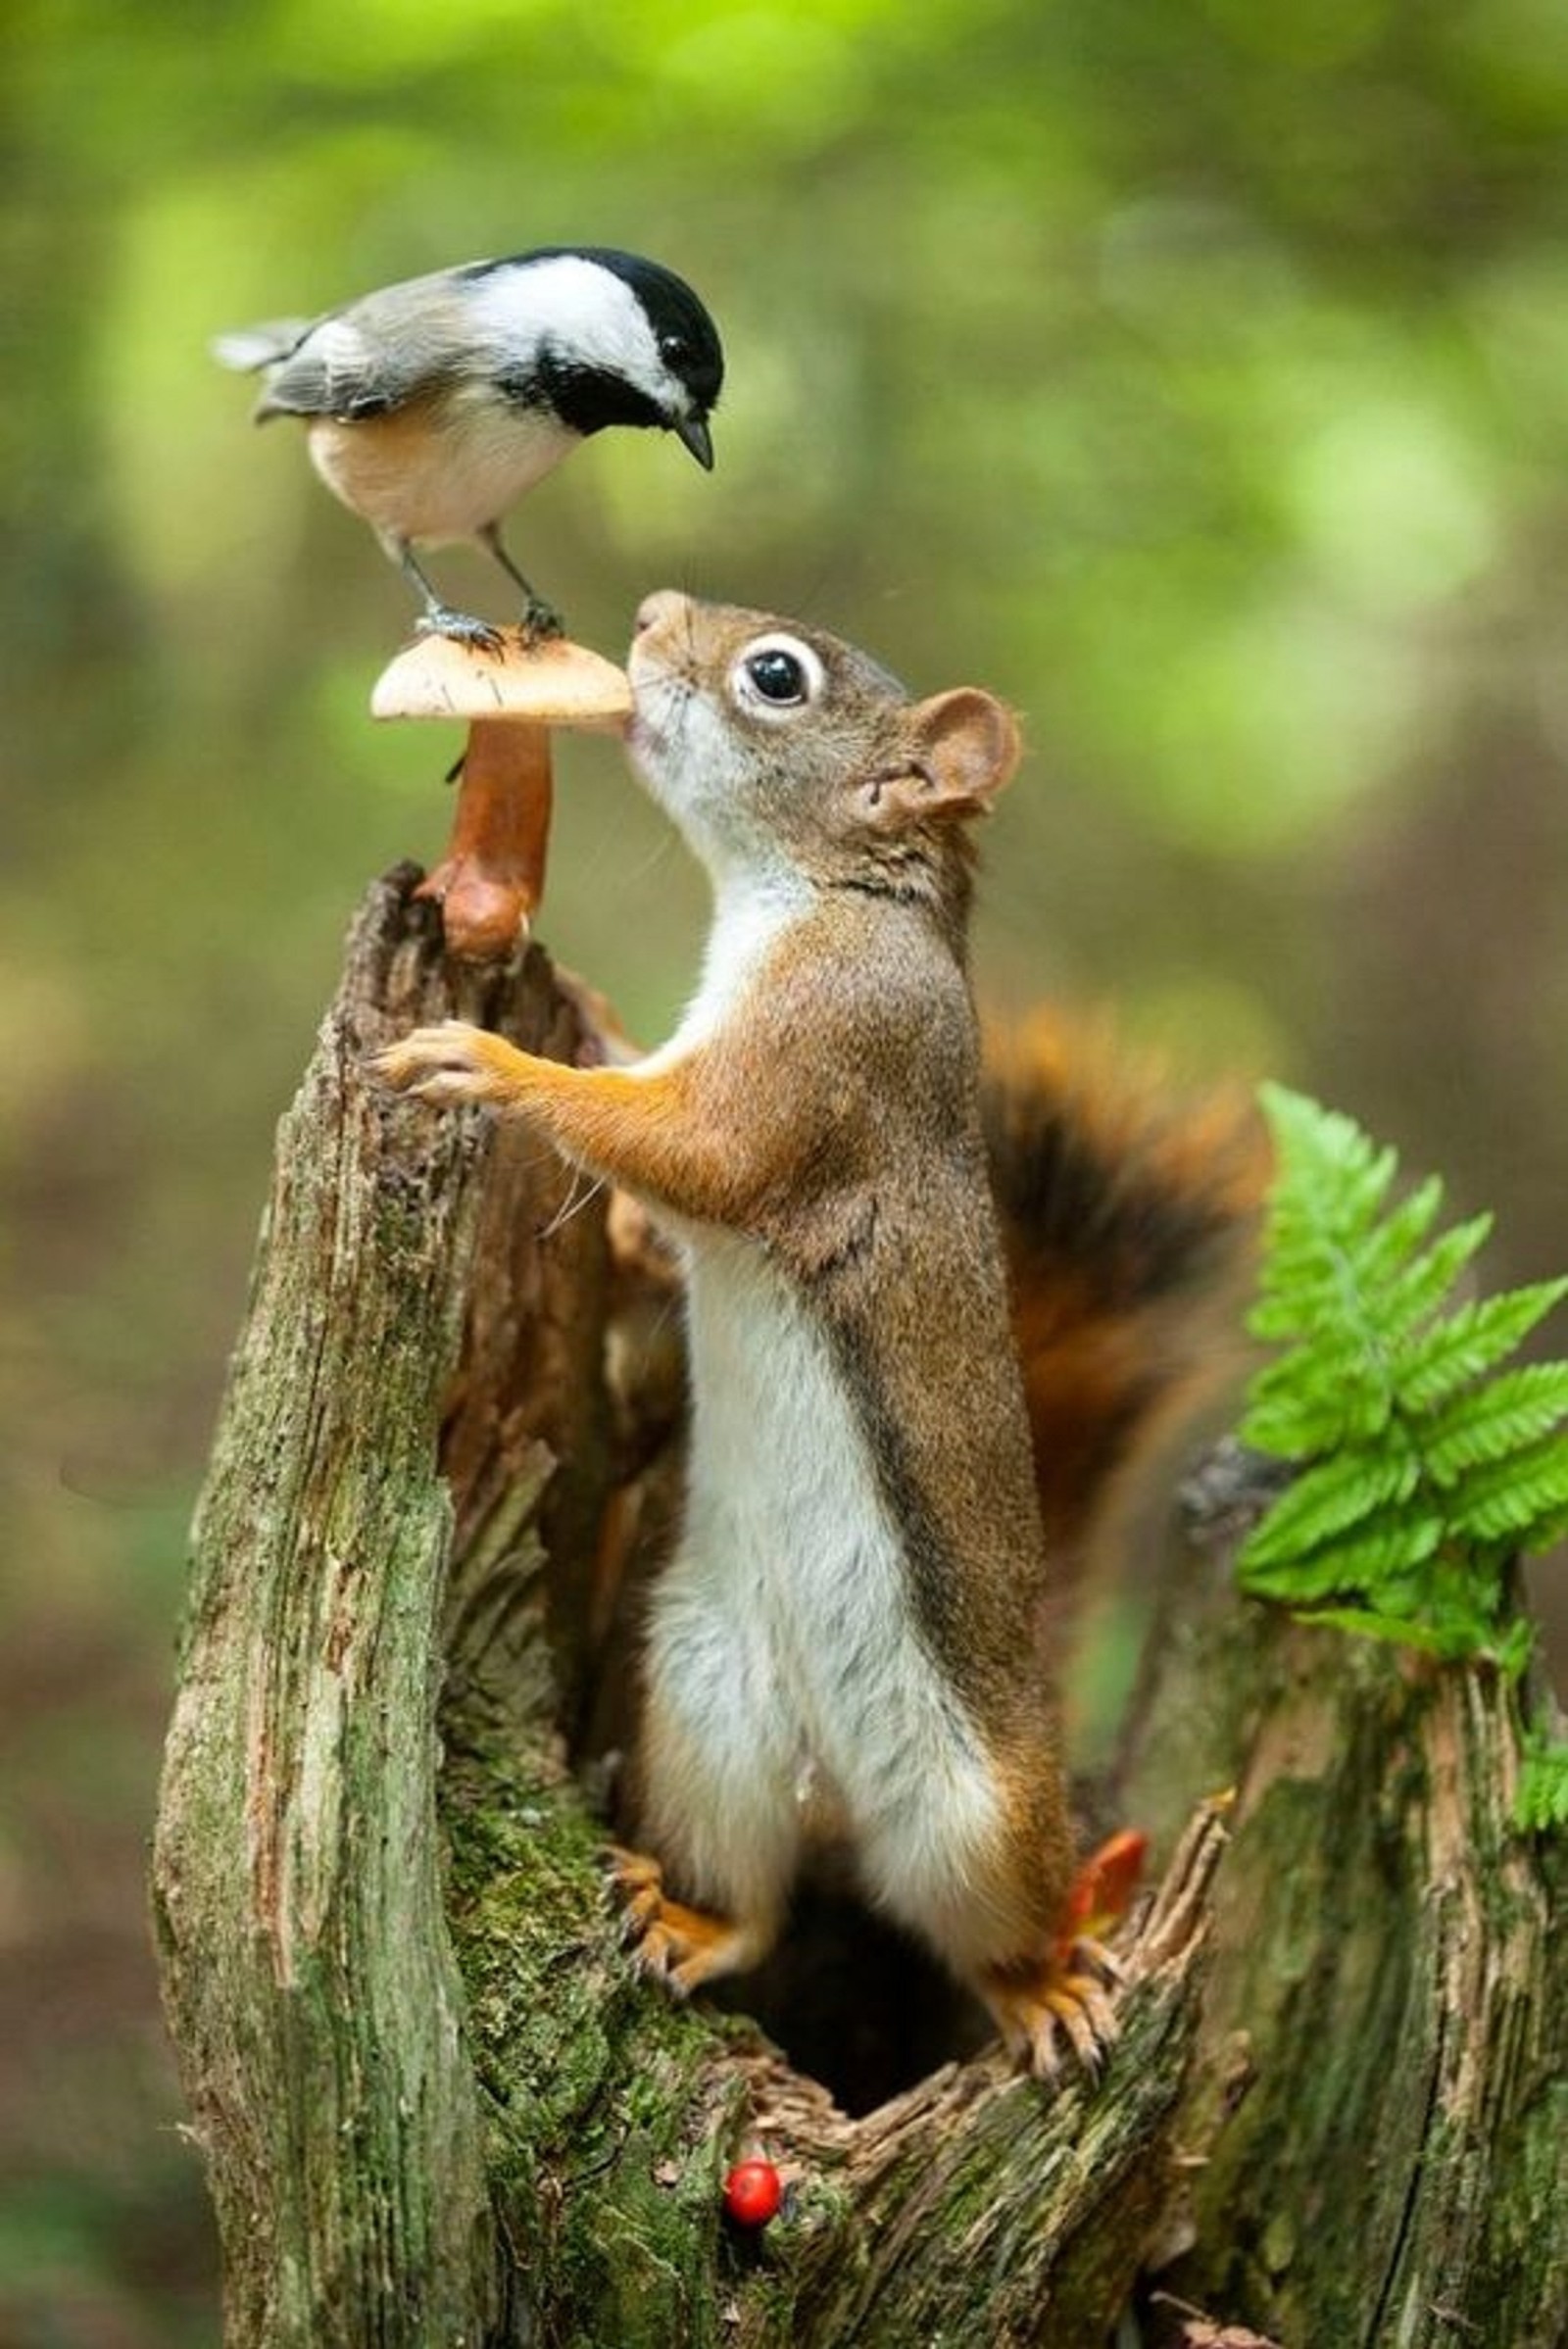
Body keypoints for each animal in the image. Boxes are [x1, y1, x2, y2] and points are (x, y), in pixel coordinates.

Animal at [370, 587, 1257, 2076]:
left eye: (774, 678)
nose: (651, 615)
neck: (821, 895)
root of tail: (835, 1786)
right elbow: (658, 1186)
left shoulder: (824, 1058)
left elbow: (693, 1152)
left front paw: (492, 1064)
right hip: (705, 1704)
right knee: (760, 1903)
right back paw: (692, 1921)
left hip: (978, 1813)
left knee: (992, 1929)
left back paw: (1047, 1985)